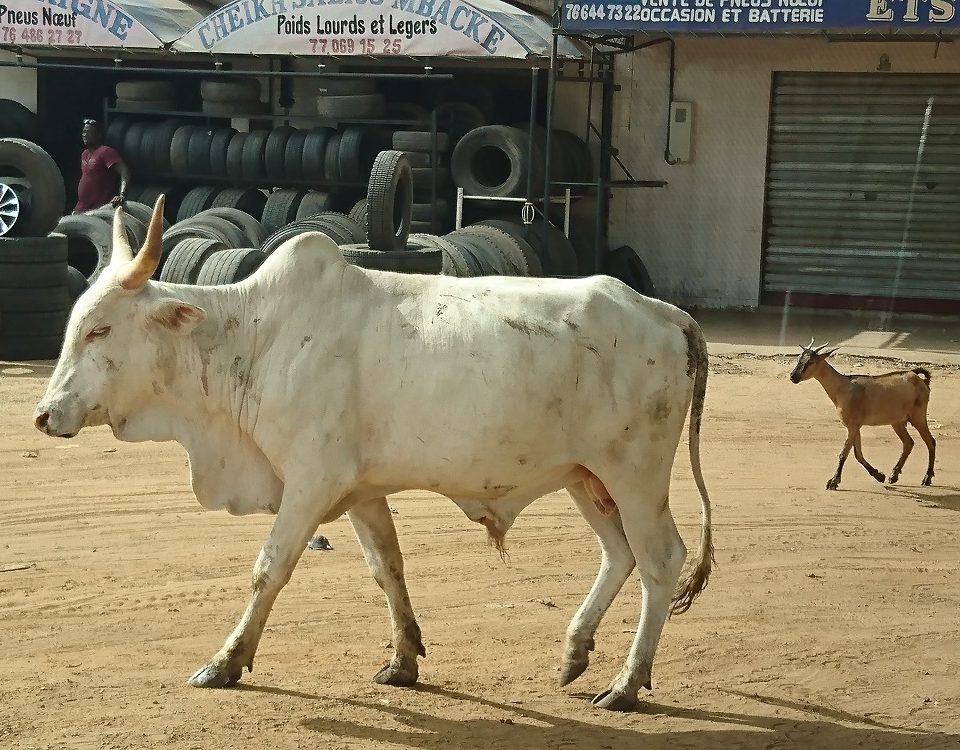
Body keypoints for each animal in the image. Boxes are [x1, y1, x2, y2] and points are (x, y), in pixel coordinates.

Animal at [35, 197, 712, 712]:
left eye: (100, 329)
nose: (44, 415)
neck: (254, 339)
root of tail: (662, 311)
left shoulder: (310, 481)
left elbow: (268, 569)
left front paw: (225, 662)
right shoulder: (359, 490)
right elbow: (387, 568)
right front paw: (404, 659)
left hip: (635, 473)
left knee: (660, 561)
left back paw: (626, 684)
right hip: (585, 476)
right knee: (619, 554)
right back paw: (574, 653)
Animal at [788, 340, 936, 494]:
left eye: (810, 362)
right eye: (798, 359)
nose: (793, 376)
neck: (842, 388)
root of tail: (920, 380)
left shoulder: (853, 425)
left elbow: (844, 453)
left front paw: (833, 481)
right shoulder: (854, 426)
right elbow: (858, 454)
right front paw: (879, 475)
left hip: (918, 415)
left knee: (930, 442)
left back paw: (927, 478)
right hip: (897, 421)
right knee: (908, 443)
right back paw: (893, 475)